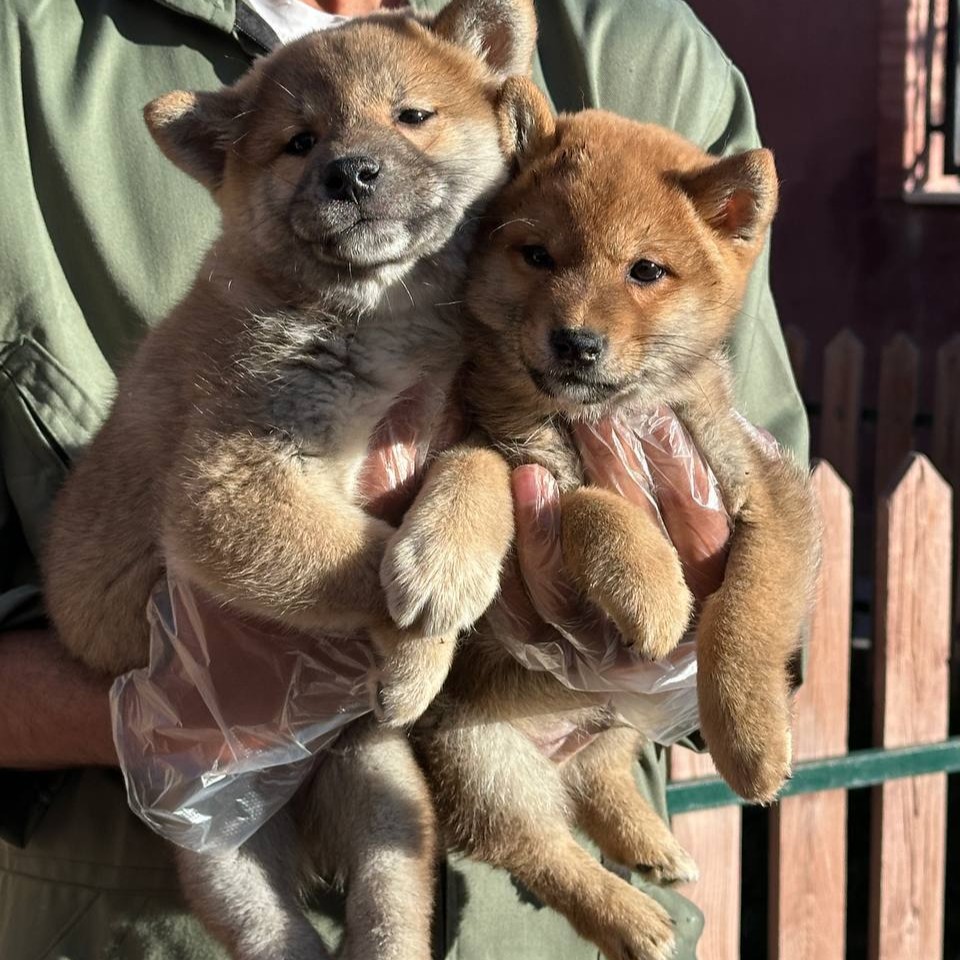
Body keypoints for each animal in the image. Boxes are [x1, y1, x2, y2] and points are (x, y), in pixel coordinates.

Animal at [385, 78, 820, 960]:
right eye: (538, 255)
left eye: (645, 270)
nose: (576, 342)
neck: (599, 417)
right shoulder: (506, 453)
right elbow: (577, 499)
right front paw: (650, 586)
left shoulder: (767, 494)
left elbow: (745, 615)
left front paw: (751, 738)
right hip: (483, 760)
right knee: (540, 850)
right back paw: (631, 917)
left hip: (612, 720)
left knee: (603, 780)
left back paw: (650, 848)